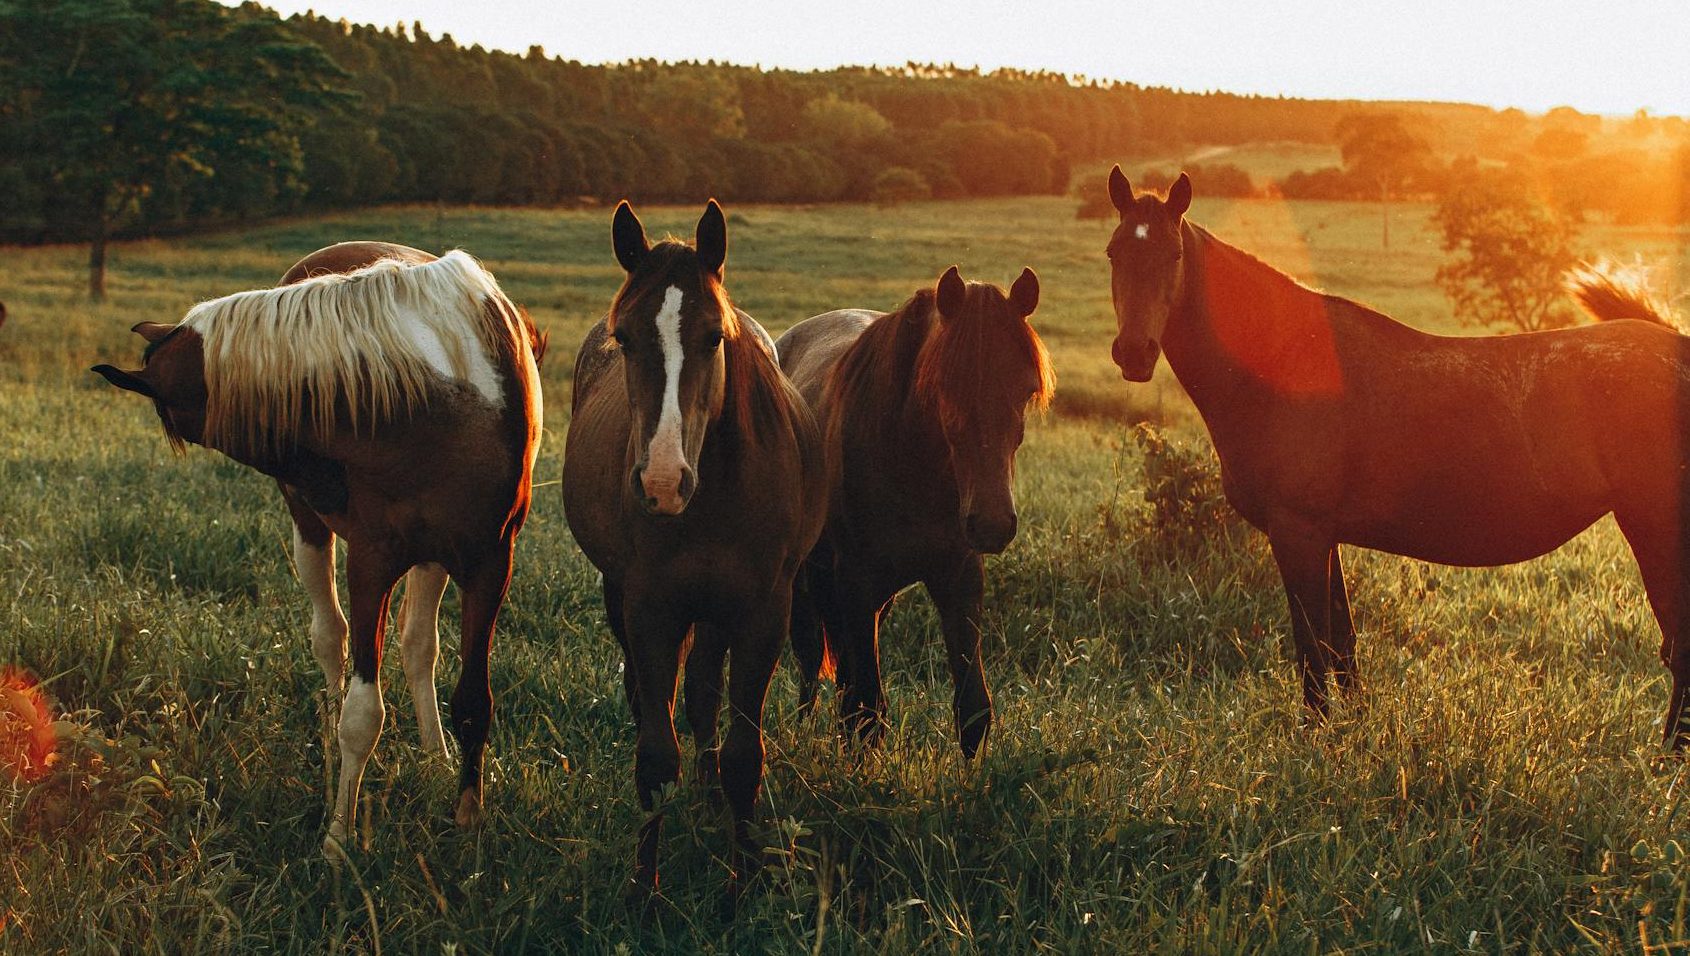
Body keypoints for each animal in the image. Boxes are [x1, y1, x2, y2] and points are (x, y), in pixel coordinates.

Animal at [91, 241, 544, 851]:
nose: (310, 475)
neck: (440, 395)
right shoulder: (371, 562)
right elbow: (362, 712)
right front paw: (338, 838)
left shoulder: (489, 563)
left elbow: (474, 699)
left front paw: (467, 820)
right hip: (313, 532)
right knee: (331, 640)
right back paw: (332, 752)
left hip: (432, 557)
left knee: (417, 646)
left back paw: (433, 756)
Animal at [562, 201, 825, 900]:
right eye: (625, 338)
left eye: (713, 337)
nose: (661, 482)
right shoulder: (650, 608)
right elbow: (655, 756)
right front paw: (644, 889)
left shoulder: (762, 612)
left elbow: (742, 754)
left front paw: (744, 879)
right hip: (625, 597)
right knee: (652, 694)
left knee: (706, 692)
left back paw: (709, 801)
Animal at [776, 266, 1054, 757]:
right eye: (945, 386)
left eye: (1026, 390)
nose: (992, 524)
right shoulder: (856, 579)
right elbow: (868, 710)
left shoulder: (959, 576)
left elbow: (973, 708)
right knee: (812, 664)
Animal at [1104, 165, 1690, 747]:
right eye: (1113, 252)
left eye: (1174, 255)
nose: (1134, 353)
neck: (1285, 362)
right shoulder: (1323, 535)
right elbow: (1341, 642)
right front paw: (1354, 727)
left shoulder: (1297, 531)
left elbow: (1312, 644)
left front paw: (1315, 733)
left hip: (1654, 527)